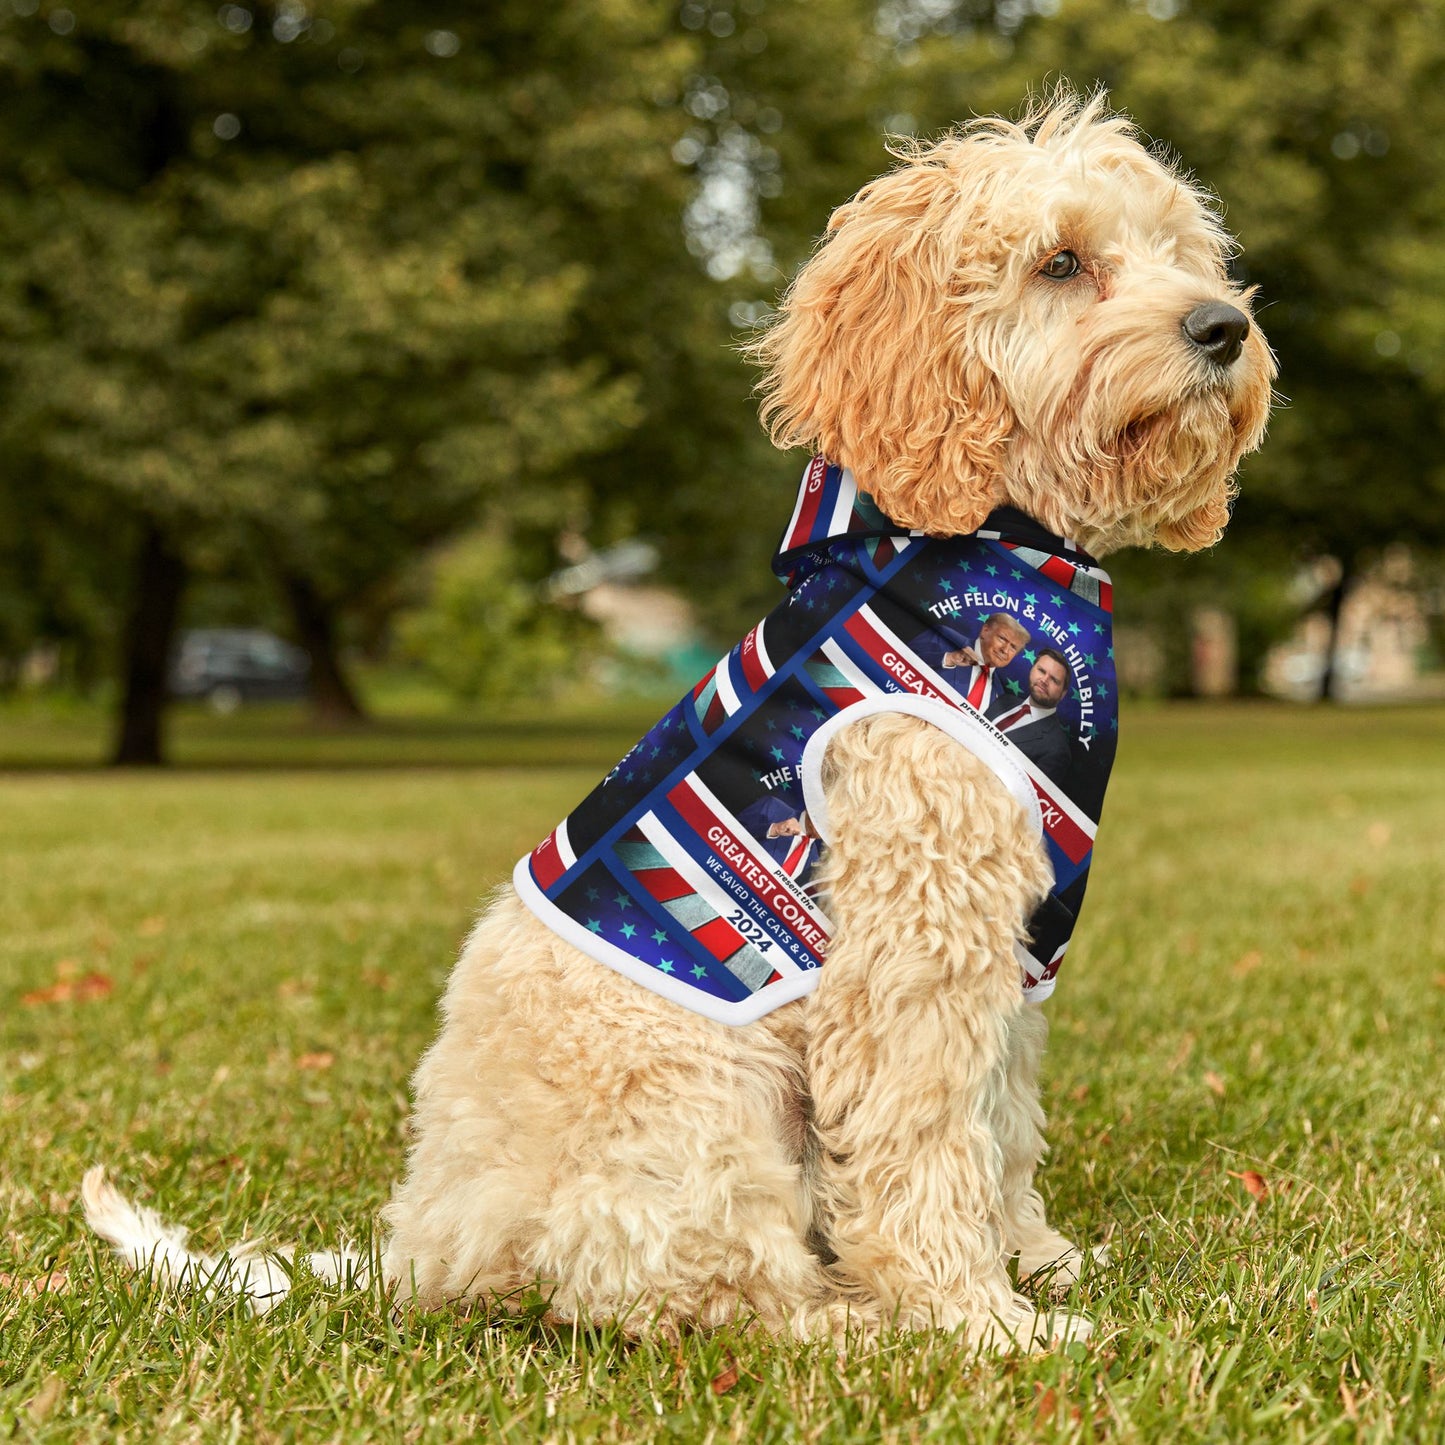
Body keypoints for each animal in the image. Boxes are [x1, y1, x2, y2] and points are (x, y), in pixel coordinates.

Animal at [84, 96, 1271, 1346]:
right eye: (1060, 262)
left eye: (1179, 252)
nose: (1222, 326)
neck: (991, 538)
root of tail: (424, 1248)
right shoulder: (912, 944)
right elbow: (925, 1140)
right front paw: (977, 1319)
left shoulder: (1009, 946)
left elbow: (999, 1123)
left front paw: (1034, 1259)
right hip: (704, 1109)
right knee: (704, 1289)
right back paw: (848, 1319)